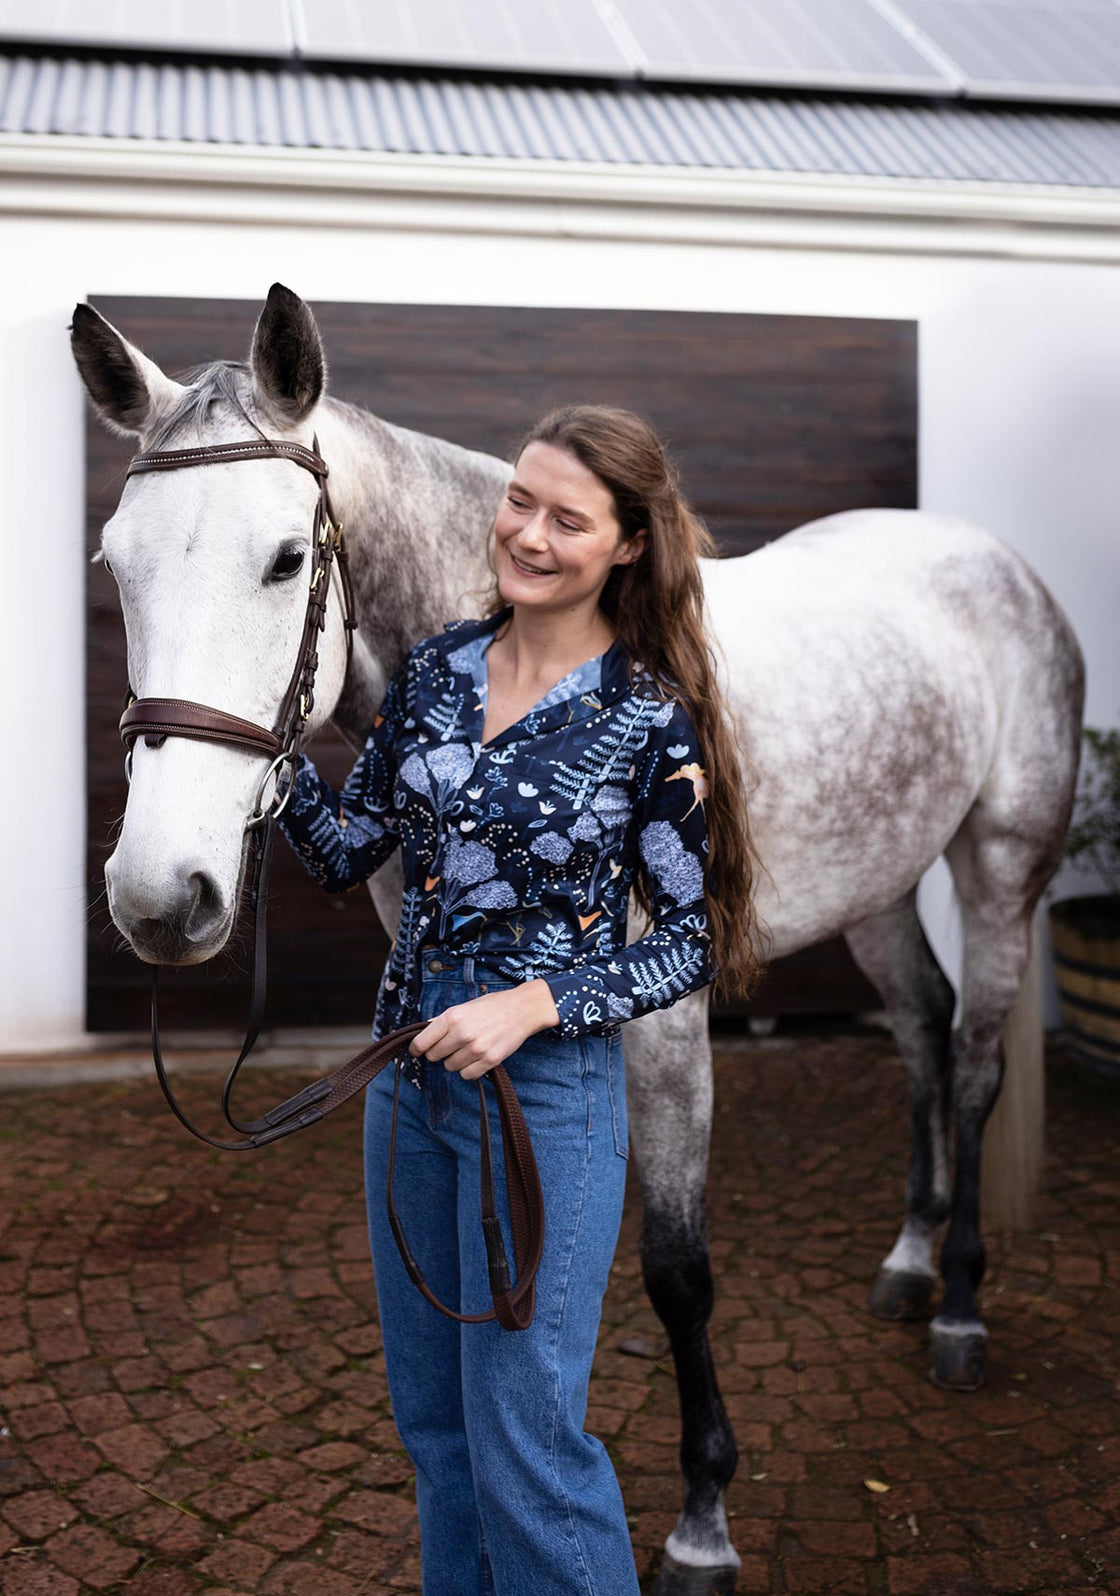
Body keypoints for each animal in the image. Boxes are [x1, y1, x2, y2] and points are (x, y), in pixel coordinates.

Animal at [70, 287, 1084, 1596]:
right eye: (116, 562)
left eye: (287, 558)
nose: (159, 896)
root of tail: (1000, 566)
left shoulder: (661, 1029)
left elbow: (675, 1270)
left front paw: (703, 1520)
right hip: (875, 889)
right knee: (918, 1031)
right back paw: (910, 1264)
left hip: (1000, 868)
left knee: (971, 1065)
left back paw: (958, 1310)